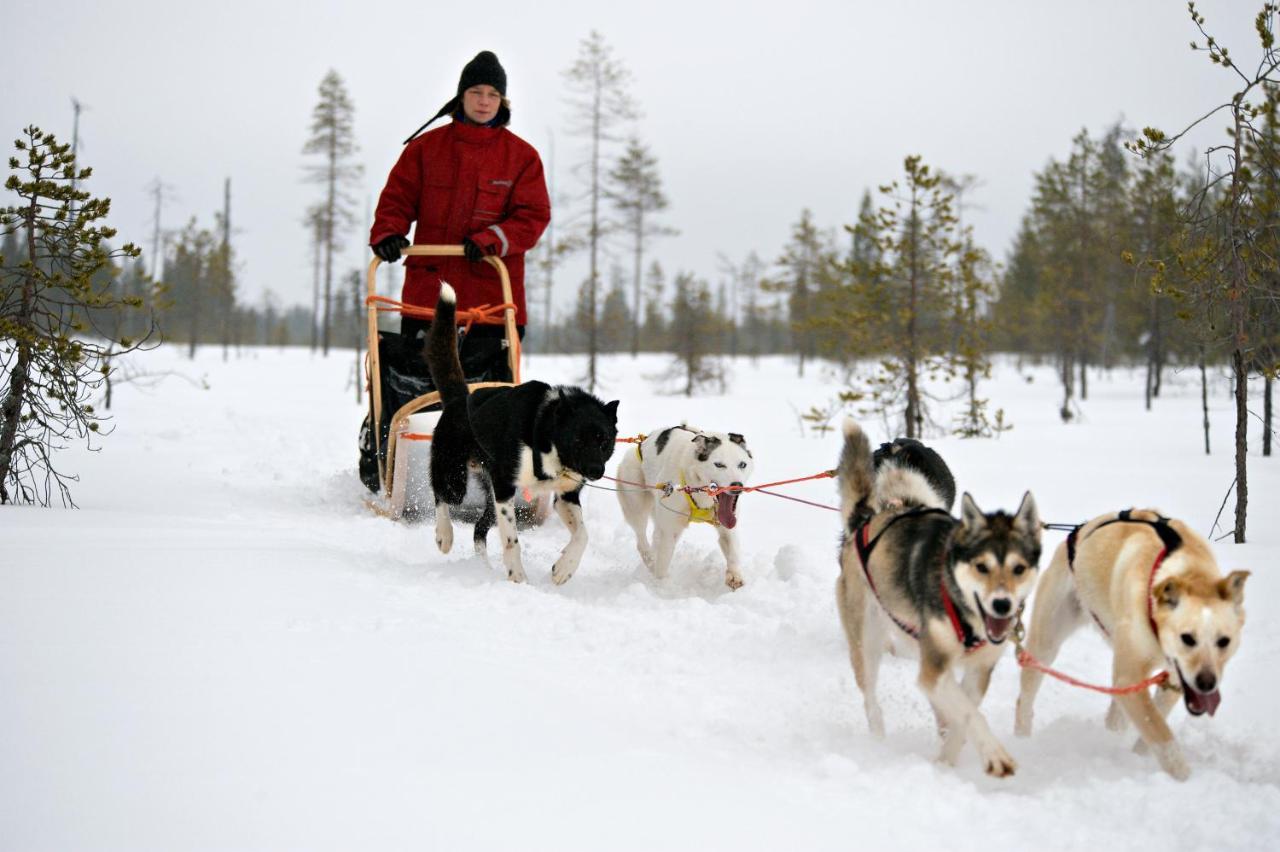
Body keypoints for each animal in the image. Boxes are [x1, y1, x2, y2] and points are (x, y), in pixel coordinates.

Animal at [424, 285, 619, 583]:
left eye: (604, 441)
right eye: (577, 440)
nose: (596, 471)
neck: (545, 435)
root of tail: (461, 398)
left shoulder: (565, 496)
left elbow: (583, 535)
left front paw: (564, 568)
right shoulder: (505, 486)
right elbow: (511, 540)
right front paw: (518, 577)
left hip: (490, 494)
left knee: (478, 529)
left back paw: (484, 568)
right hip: (456, 476)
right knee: (442, 496)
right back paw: (444, 535)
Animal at [614, 422, 752, 583]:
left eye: (742, 465)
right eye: (719, 465)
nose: (737, 486)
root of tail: (641, 443)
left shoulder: (726, 525)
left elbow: (732, 548)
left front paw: (734, 574)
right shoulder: (669, 531)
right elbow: (662, 565)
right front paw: (661, 585)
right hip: (637, 507)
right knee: (641, 538)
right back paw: (650, 560)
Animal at [1013, 506, 1244, 777]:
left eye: (1224, 641)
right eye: (1187, 638)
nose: (1207, 684)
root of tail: (1077, 532)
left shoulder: (1171, 682)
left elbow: (1152, 728)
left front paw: (1137, 757)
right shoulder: (1130, 675)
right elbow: (1160, 734)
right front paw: (1183, 777)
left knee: (1117, 713)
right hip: (1046, 643)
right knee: (1025, 698)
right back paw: (1023, 741)